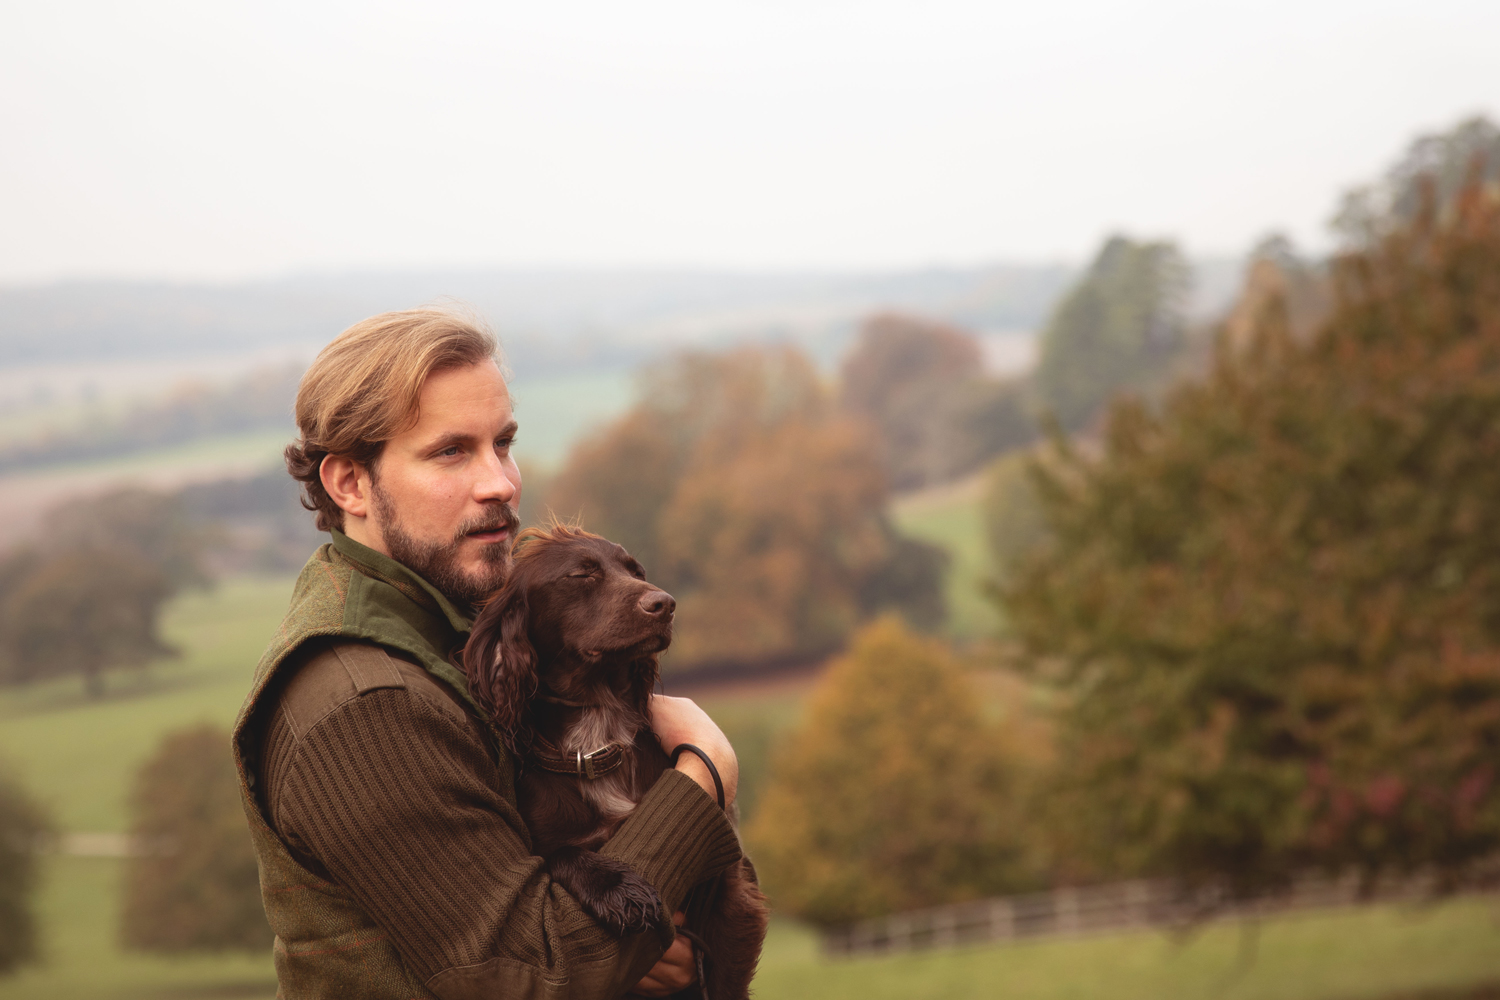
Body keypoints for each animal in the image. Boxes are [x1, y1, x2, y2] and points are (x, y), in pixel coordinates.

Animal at [462, 527, 768, 995]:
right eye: (582, 574)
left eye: (636, 571)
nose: (665, 604)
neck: (597, 738)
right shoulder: (547, 842)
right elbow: (559, 855)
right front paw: (617, 887)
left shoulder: (732, 887)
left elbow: (724, 982)